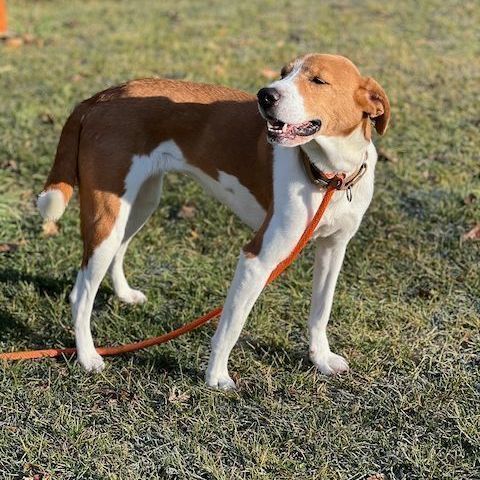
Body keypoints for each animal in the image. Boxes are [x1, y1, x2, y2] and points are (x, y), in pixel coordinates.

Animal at [37, 53, 390, 390]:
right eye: (283, 72)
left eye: (318, 80)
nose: (265, 95)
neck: (329, 175)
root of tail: (102, 97)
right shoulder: (257, 258)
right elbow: (231, 326)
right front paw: (216, 377)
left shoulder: (333, 248)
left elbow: (321, 310)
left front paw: (321, 359)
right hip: (107, 216)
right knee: (81, 293)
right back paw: (87, 356)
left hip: (138, 204)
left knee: (118, 252)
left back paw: (123, 294)